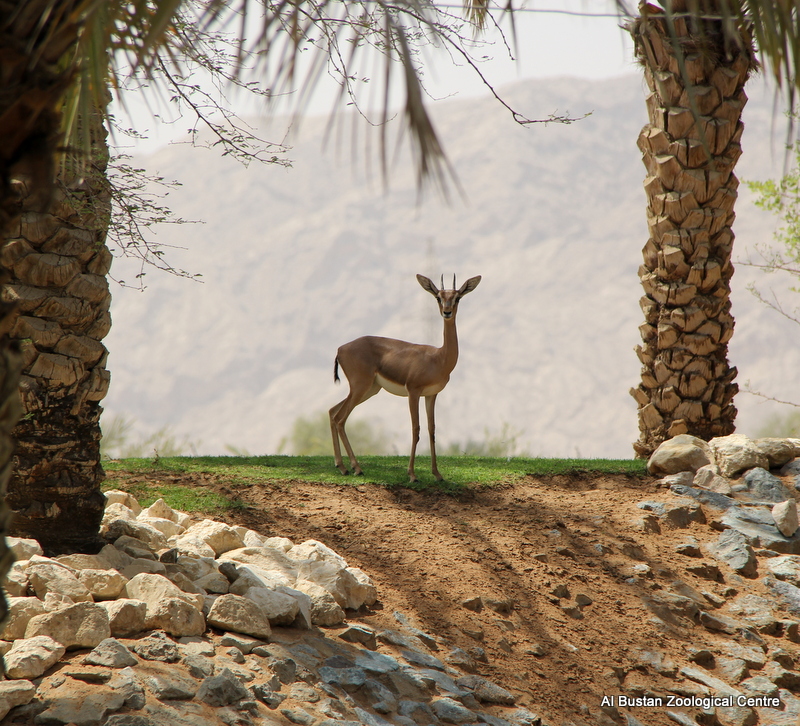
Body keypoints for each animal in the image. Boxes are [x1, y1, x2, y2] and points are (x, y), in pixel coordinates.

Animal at [330, 273, 481, 482]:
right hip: (360, 388)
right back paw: (355, 468)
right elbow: (415, 429)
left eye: (457, 297)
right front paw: (412, 474)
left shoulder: (431, 395)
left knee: (331, 412)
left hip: (369, 390)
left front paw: (437, 474)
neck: (438, 358)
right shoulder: (413, 392)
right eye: (438, 297)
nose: (447, 312)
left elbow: (432, 430)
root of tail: (340, 349)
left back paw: (341, 466)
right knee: (340, 419)